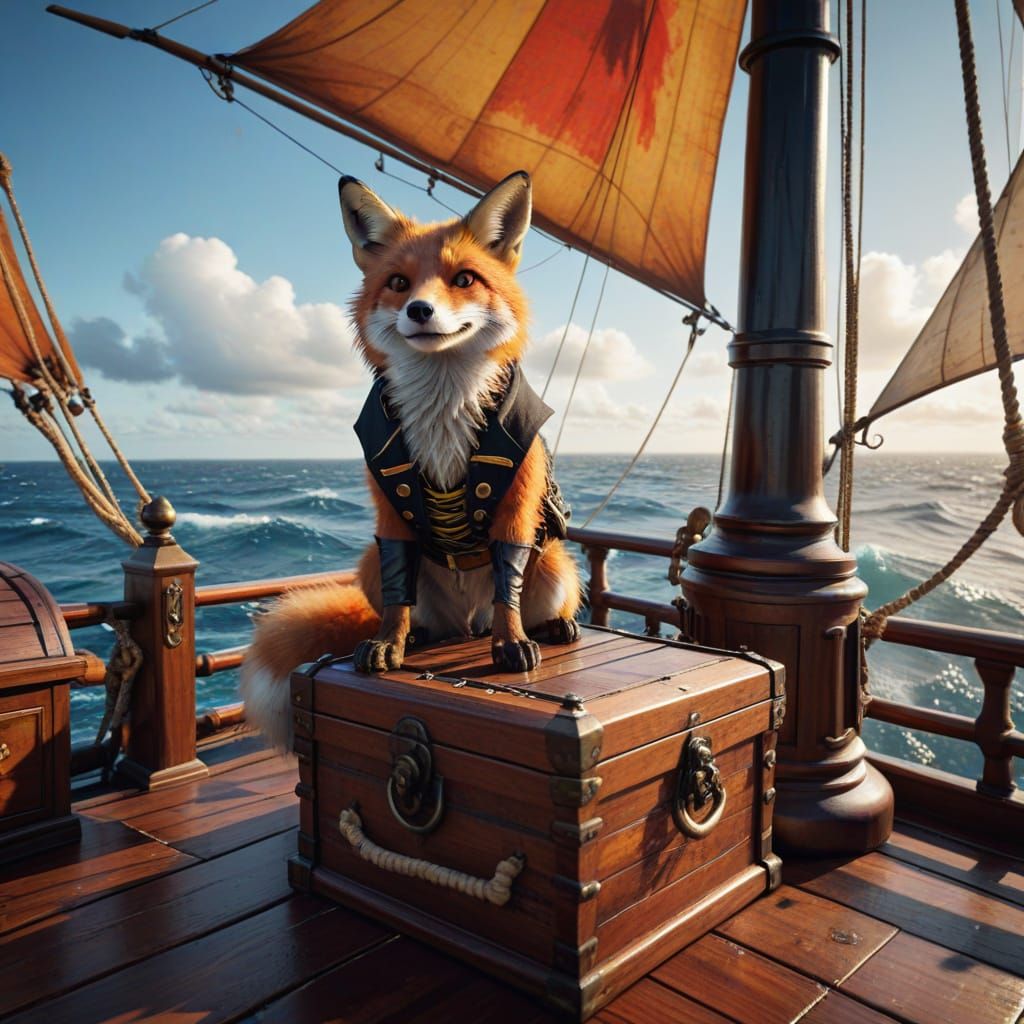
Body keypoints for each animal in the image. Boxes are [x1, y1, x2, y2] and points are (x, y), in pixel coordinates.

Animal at [240, 170, 582, 749]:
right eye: (399, 283)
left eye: (464, 278)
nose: (419, 310)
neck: (444, 415)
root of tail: (466, 623)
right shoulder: (390, 505)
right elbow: (398, 596)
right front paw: (389, 644)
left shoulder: (516, 502)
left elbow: (507, 590)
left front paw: (510, 643)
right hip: (370, 565)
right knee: (415, 611)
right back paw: (418, 637)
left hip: (556, 561)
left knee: (523, 603)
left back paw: (552, 626)